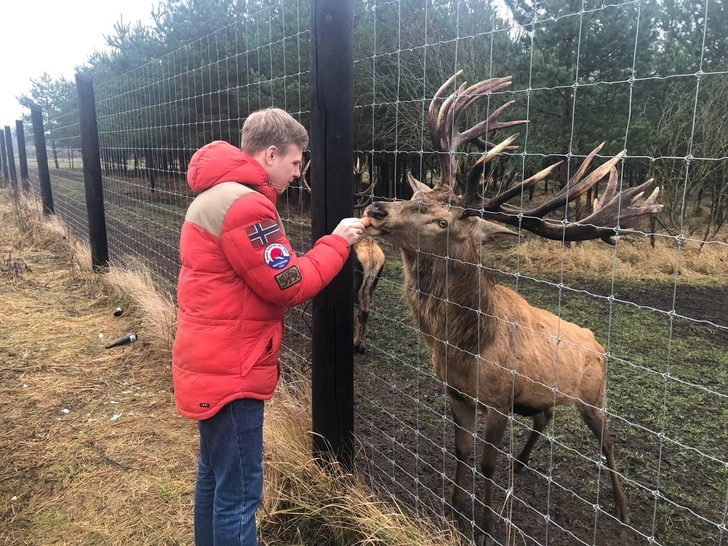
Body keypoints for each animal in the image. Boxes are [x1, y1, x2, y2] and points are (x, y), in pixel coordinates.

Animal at [298, 155, 384, 350]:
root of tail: (373, 258)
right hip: (373, 281)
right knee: (367, 309)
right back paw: (362, 344)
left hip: (356, 282)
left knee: (360, 309)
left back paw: (355, 342)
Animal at [364, 71, 660, 544]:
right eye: (417, 196)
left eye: (443, 221)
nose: (376, 208)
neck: (466, 346)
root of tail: (597, 342)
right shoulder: (457, 392)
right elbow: (462, 453)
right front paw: (454, 510)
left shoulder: (500, 399)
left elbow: (486, 464)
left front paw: (486, 526)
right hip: (546, 395)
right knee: (545, 418)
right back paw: (520, 466)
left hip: (595, 394)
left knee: (608, 440)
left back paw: (623, 508)